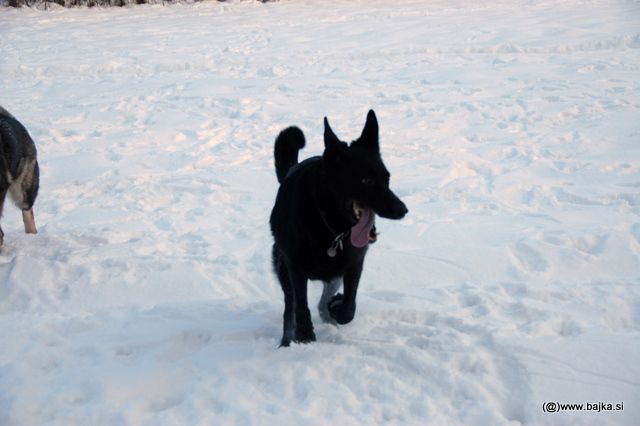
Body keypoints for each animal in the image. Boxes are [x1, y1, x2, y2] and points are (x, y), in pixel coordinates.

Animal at [268, 110, 408, 346]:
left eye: (387, 178)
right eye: (366, 180)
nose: (402, 209)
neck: (329, 227)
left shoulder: (354, 263)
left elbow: (349, 307)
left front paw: (335, 307)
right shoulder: (295, 267)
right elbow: (301, 306)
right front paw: (305, 336)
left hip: (333, 275)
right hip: (283, 267)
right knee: (290, 307)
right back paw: (287, 340)